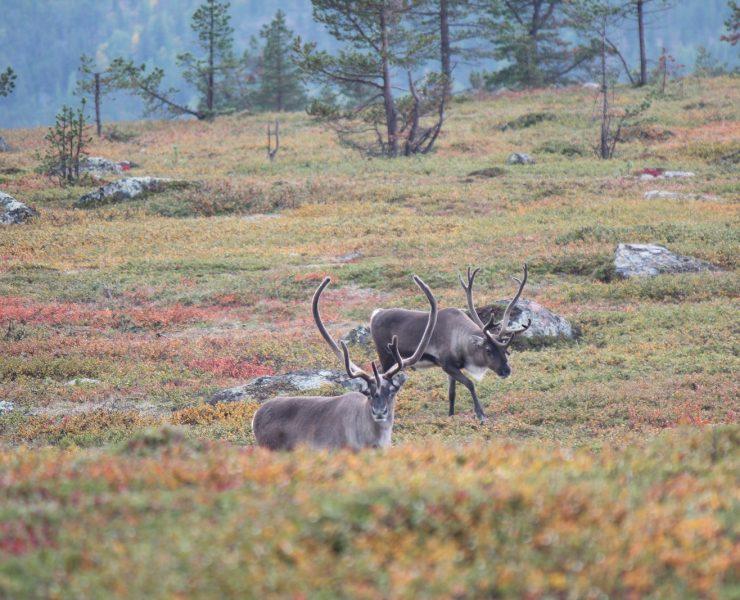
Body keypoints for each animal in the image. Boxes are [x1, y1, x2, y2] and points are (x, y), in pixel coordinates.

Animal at [370, 265, 530, 421]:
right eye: (488, 350)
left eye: (505, 350)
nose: (506, 370)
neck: (460, 340)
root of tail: (375, 314)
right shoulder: (447, 365)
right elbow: (470, 384)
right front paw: (480, 414)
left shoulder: (453, 367)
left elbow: (452, 393)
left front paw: (451, 415)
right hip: (385, 354)